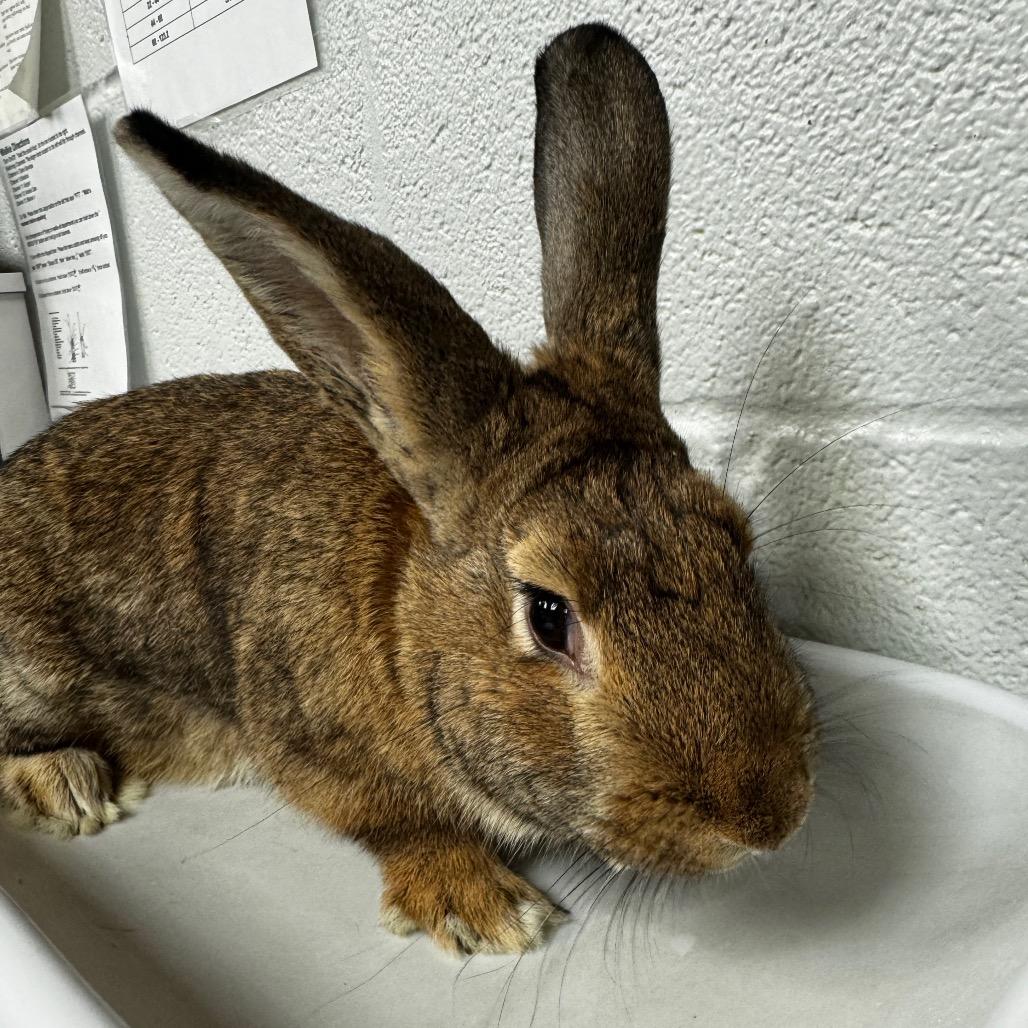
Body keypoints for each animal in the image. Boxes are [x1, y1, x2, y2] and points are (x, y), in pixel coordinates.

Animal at [0, 23, 816, 954]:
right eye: (548, 615)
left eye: (736, 541)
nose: (770, 817)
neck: (402, 609)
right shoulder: (304, 740)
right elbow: (393, 820)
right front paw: (485, 907)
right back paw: (66, 785)